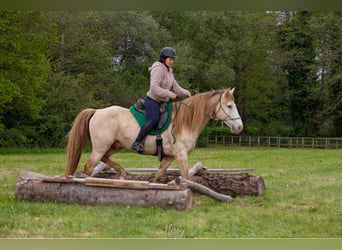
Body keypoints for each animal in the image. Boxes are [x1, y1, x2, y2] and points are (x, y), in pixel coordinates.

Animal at [65, 88, 243, 182]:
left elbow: (159, 174)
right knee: (89, 166)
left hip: (115, 145)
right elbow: (186, 176)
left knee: (104, 158)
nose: (239, 127)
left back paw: (121, 172)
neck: (184, 122)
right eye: (229, 106)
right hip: (100, 147)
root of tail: (96, 111)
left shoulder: (170, 156)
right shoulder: (181, 155)